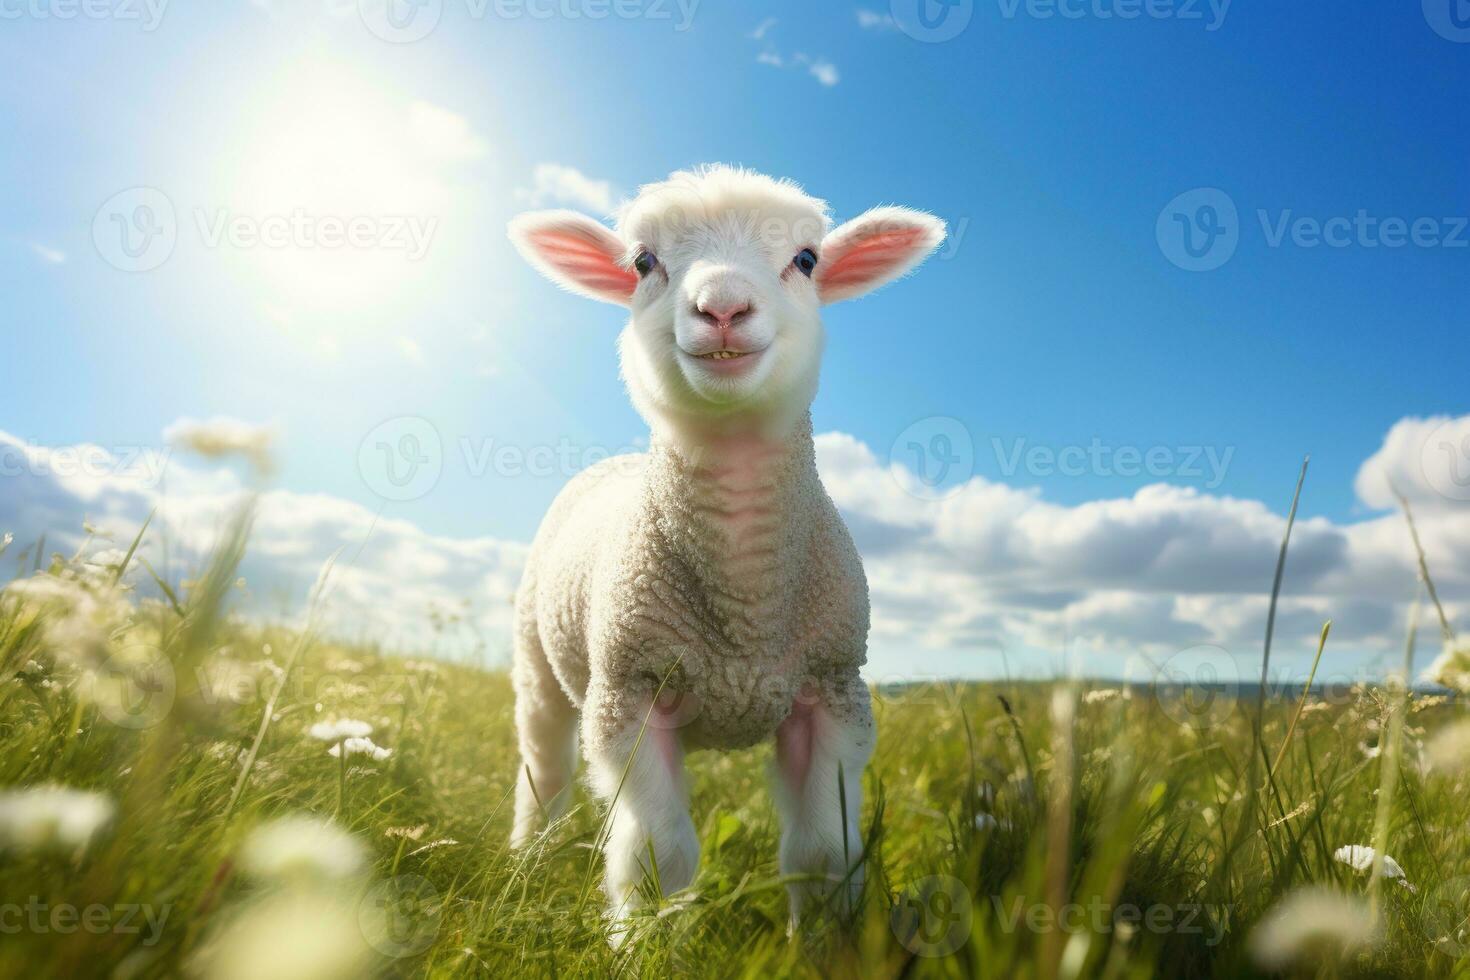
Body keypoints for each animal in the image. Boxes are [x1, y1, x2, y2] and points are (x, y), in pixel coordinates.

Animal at [505, 164, 940, 934]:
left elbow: (823, 852)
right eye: (643, 262)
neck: (744, 601)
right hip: (539, 662)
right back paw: (530, 858)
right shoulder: (629, 692)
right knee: (544, 767)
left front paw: (821, 943)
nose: (724, 308)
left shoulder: (834, 693)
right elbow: (660, 853)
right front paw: (643, 941)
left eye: (807, 259)